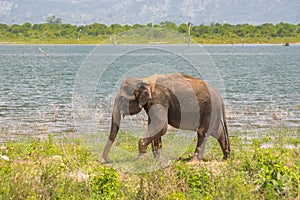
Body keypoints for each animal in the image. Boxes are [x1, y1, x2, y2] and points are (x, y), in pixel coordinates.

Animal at [101, 72, 230, 163]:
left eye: (122, 99)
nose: (106, 160)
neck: (145, 79)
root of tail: (220, 98)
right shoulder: (152, 103)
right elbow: (156, 127)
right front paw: (158, 160)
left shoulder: (159, 99)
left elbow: (161, 126)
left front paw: (141, 159)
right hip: (212, 112)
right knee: (217, 132)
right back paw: (225, 158)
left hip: (209, 109)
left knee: (202, 133)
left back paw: (194, 161)